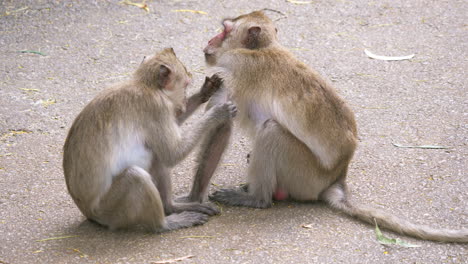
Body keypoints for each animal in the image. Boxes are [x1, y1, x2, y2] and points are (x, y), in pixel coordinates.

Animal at [63, 48, 238, 232]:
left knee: (155, 155)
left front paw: (205, 91)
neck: (145, 85)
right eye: (185, 85)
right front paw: (218, 113)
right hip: (109, 211)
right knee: (136, 175)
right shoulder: (156, 107)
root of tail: (88, 212)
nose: (183, 101)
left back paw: (171, 207)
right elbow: (172, 154)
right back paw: (165, 223)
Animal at [202, 10, 468, 243]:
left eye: (224, 30)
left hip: (304, 176)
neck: (263, 49)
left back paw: (257, 198)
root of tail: (337, 178)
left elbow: (218, 117)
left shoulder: (239, 68)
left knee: (271, 131)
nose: (209, 39)